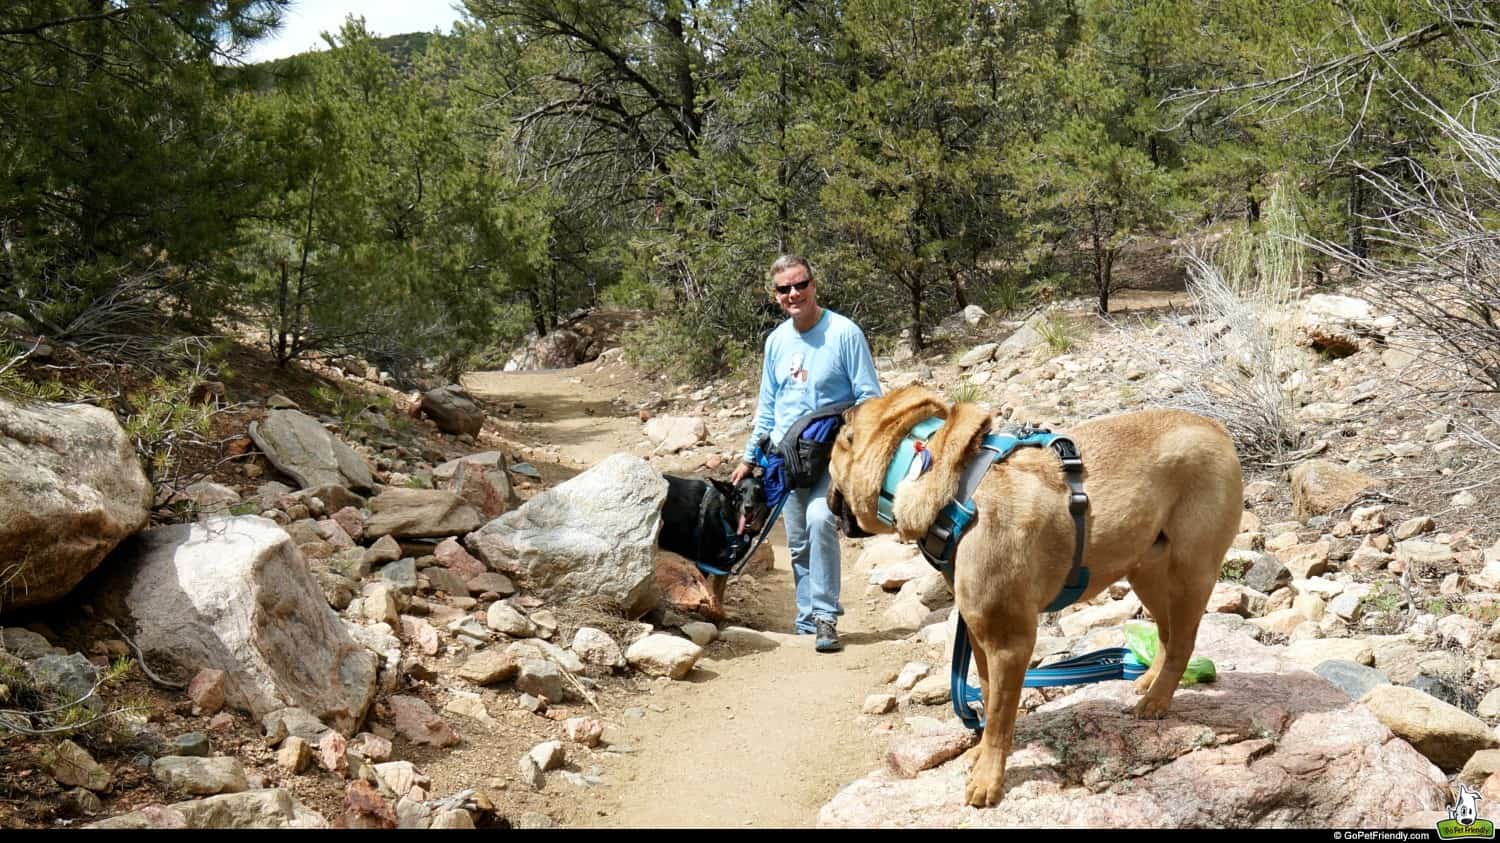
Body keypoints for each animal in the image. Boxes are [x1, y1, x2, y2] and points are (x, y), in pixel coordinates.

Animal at [828, 384, 1236, 804]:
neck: (947, 481)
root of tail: (1216, 427)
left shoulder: (1010, 642)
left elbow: (999, 715)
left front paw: (989, 777)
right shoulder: (979, 635)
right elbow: (989, 697)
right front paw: (981, 752)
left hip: (1191, 574)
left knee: (1183, 641)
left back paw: (1157, 699)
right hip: (1147, 572)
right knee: (1167, 633)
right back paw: (1148, 678)